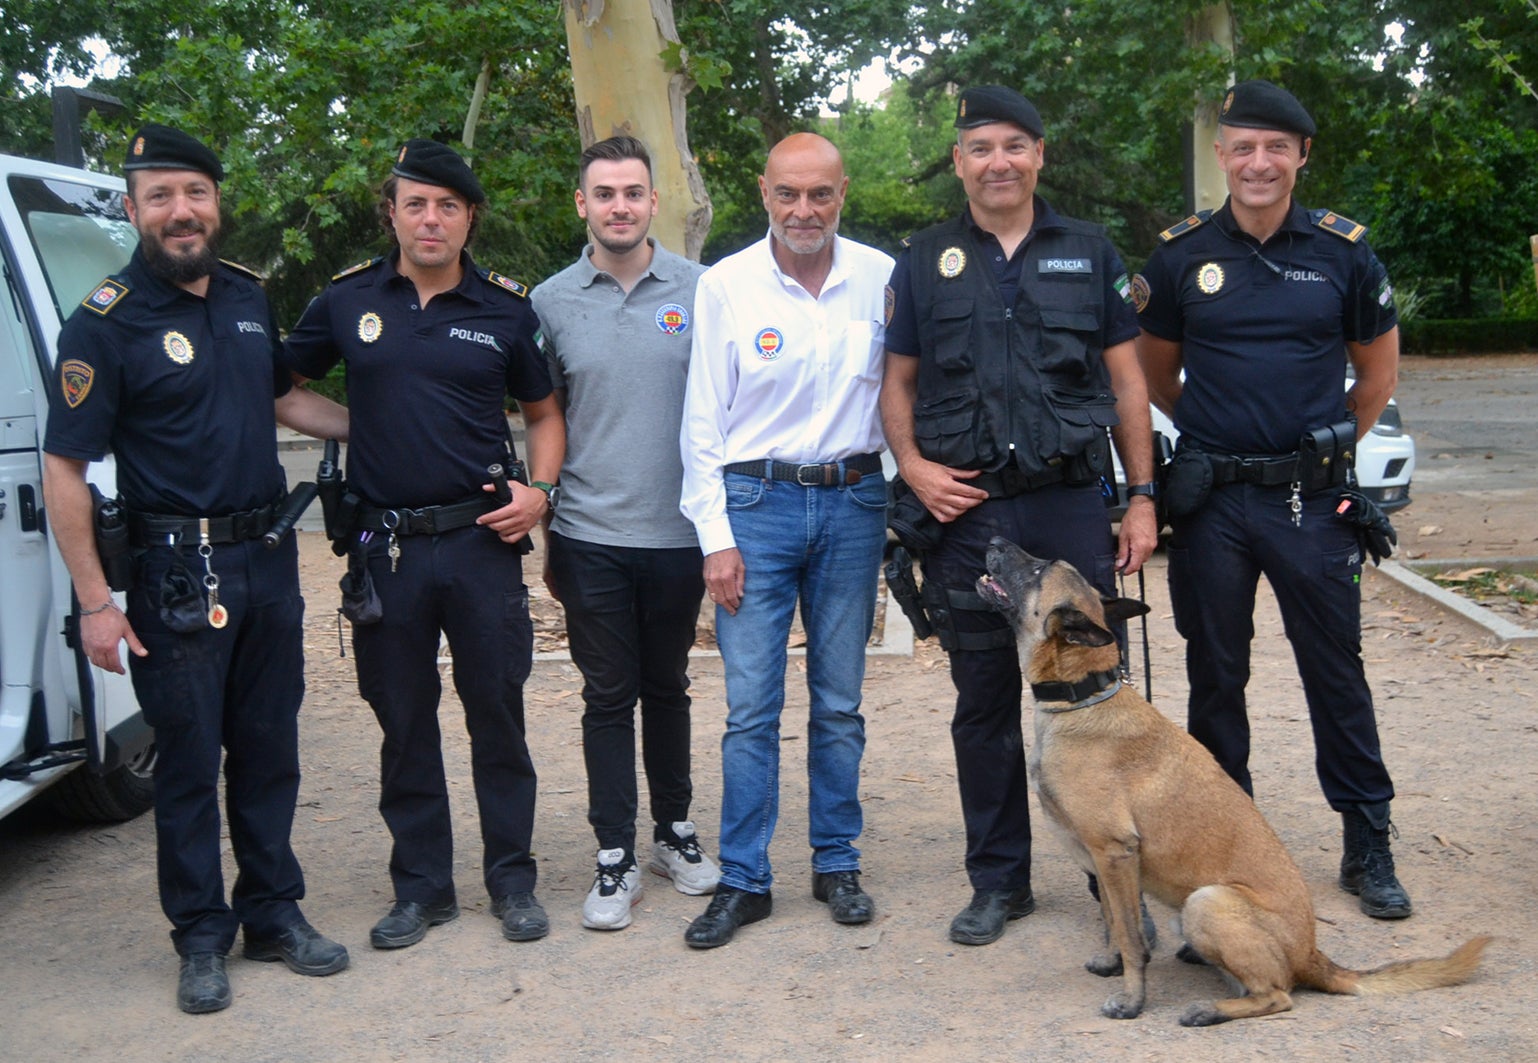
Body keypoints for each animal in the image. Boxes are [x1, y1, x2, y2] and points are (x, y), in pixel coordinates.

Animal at [972, 535, 1488, 1027]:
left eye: (1038, 569)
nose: (993, 537)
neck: (1083, 697)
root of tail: (1312, 955)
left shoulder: (1114, 853)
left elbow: (1133, 937)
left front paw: (1133, 999)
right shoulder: (1101, 862)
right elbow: (1113, 921)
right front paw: (1110, 961)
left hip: (1206, 902)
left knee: (1278, 996)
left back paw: (1210, 1010)